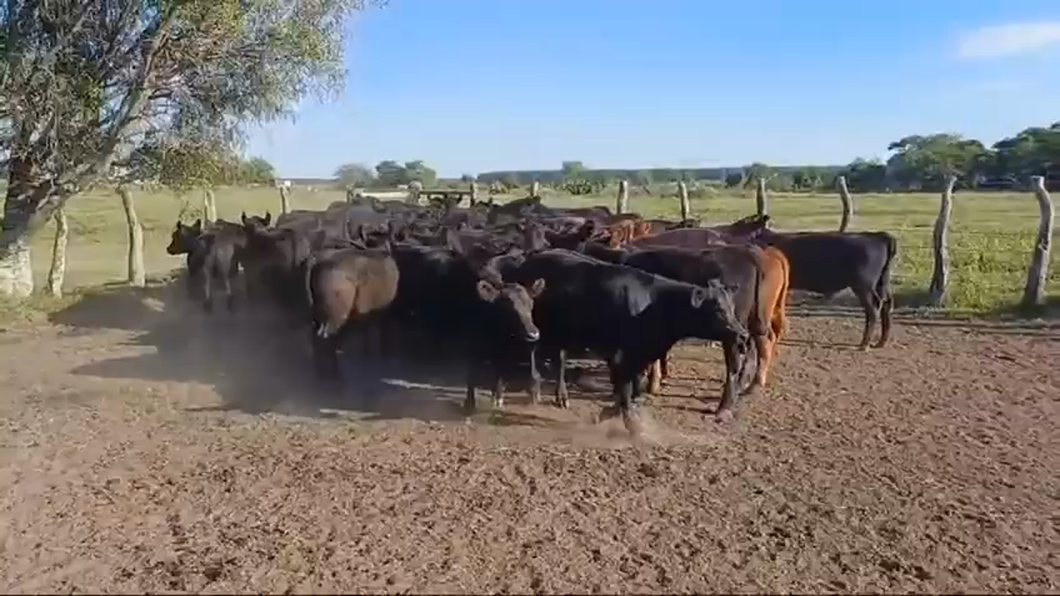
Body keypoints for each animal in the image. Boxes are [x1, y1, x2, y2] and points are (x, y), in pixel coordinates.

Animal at [508, 247, 750, 426]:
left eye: (731, 307)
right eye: (718, 309)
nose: (742, 334)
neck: (652, 304)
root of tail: (530, 260)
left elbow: (629, 384)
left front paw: (614, 411)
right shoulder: (619, 354)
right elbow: (624, 387)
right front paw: (627, 419)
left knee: (559, 358)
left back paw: (562, 397)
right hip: (534, 327)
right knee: (534, 352)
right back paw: (535, 390)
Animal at [758, 226, 898, 347]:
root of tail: (878, 236)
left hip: (864, 287)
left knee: (873, 309)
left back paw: (864, 343)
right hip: (882, 283)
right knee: (886, 305)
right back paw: (880, 342)